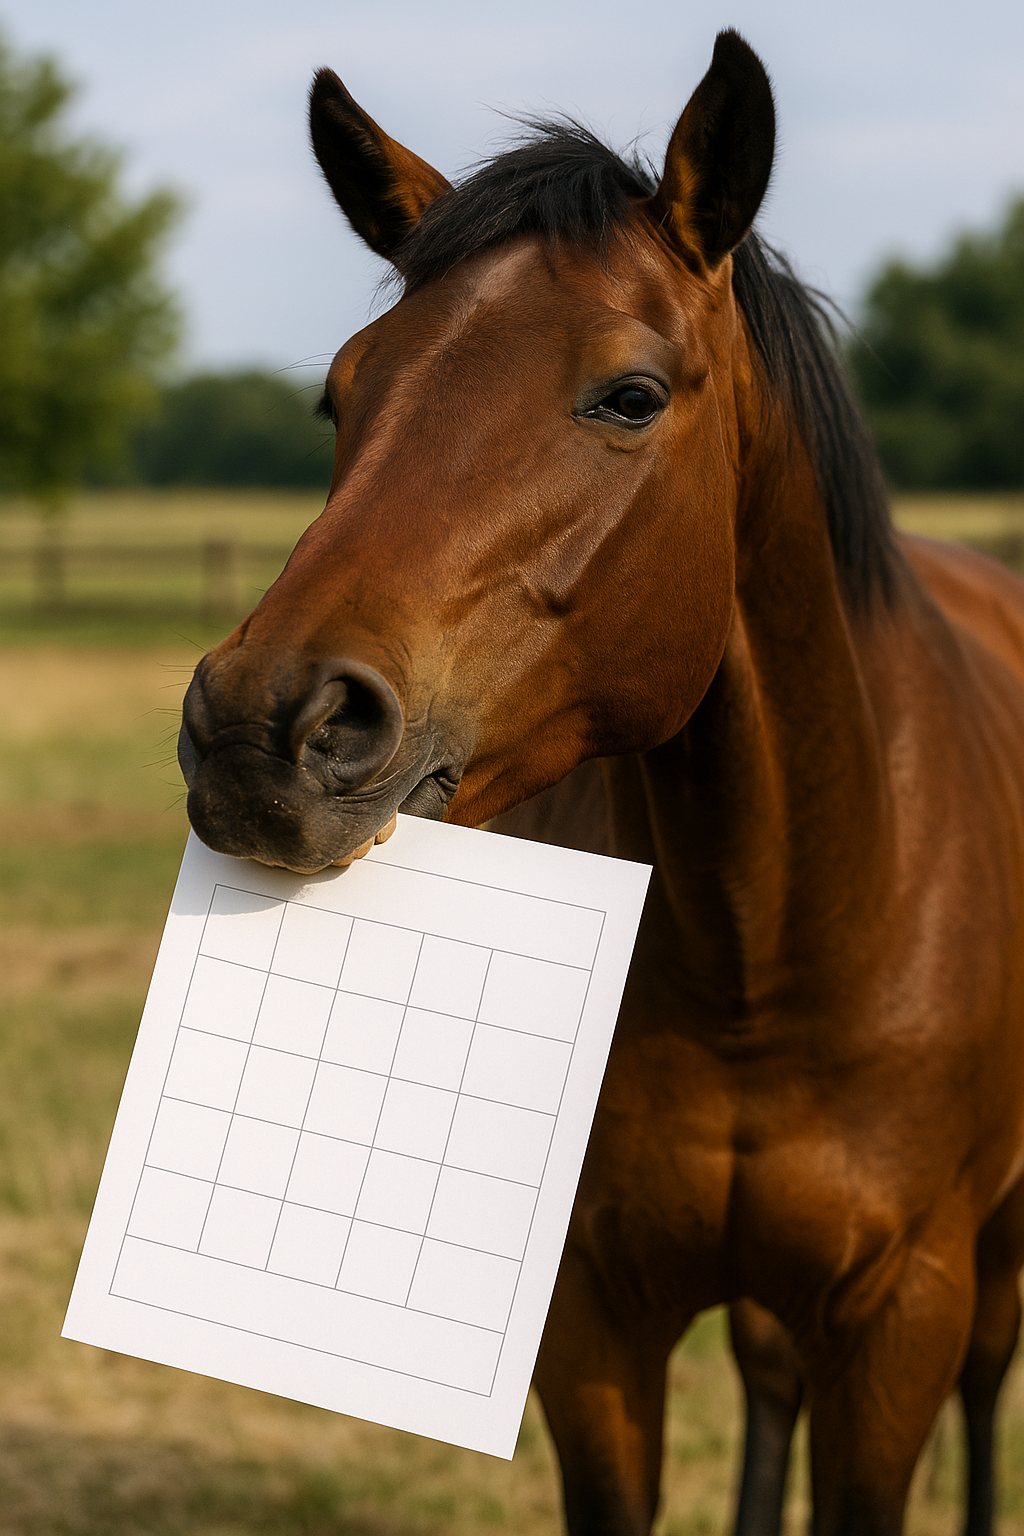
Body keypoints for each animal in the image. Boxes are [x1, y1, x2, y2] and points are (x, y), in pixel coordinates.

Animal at [177, 31, 1024, 1536]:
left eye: (630, 395)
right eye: (343, 392)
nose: (258, 730)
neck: (776, 959)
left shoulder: (900, 1321)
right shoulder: (597, 1327)